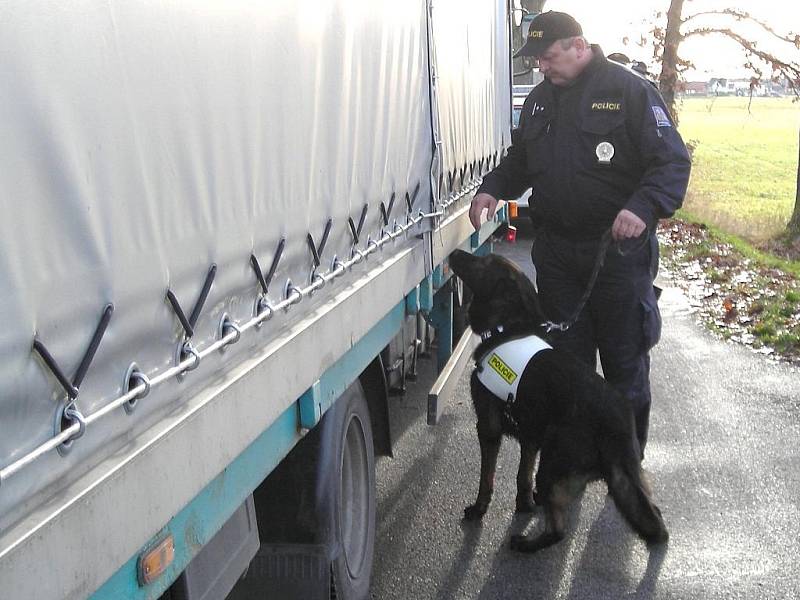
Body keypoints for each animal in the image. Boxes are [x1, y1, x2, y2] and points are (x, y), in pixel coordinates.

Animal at [450, 248, 668, 552]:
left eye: (482, 263)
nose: (454, 252)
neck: (507, 327)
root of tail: (617, 421)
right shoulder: (530, 435)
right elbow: (522, 476)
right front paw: (525, 505)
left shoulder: (488, 428)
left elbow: (486, 478)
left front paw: (479, 509)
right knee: (653, 511)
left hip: (552, 461)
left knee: (558, 531)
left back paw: (525, 544)